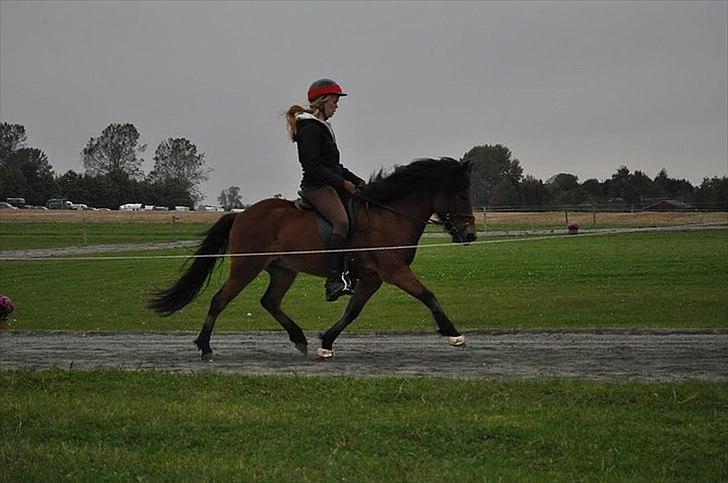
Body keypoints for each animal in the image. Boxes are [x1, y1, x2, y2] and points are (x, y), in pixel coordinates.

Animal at [148, 159, 478, 360]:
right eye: (461, 195)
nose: (470, 234)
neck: (389, 215)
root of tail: (241, 214)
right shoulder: (394, 270)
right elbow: (429, 296)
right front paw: (453, 334)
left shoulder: (373, 277)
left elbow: (352, 311)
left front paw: (326, 343)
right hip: (246, 267)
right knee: (220, 299)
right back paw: (205, 347)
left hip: (283, 270)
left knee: (270, 301)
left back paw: (299, 339)